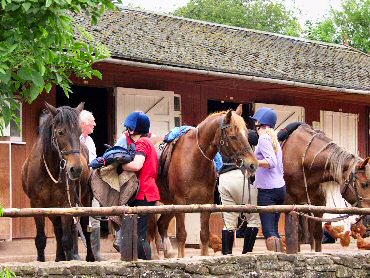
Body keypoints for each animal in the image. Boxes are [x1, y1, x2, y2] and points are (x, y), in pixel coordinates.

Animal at [21, 103, 94, 262]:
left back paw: (90, 258)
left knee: (85, 229)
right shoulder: (37, 205)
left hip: (85, 200)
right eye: (60, 132)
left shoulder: (67, 205)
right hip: (52, 208)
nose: (76, 169)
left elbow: (67, 240)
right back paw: (59, 258)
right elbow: (41, 239)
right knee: (57, 229)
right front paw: (42, 261)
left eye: (79, 132)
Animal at [152, 105, 258, 258]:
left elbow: (204, 235)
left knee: (161, 225)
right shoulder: (180, 202)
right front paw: (181, 257)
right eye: (233, 136)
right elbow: (181, 234)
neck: (194, 159)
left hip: (169, 204)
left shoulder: (206, 203)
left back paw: (168, 253)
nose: (252, 164)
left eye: (247, 135)